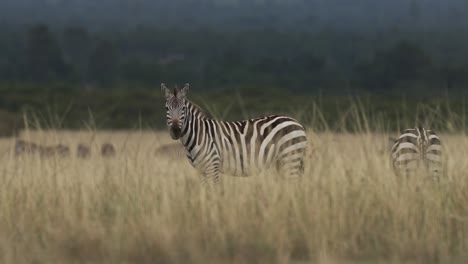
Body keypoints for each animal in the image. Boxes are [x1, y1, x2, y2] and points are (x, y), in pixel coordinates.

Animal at [161, 83, 308, 185]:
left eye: (183, 108)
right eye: (166, 108)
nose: (175, 131)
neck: (198, 134)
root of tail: (296, 122)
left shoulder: (213, 166)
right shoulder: (201, 170)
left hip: (290, 158)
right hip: (282, 162)